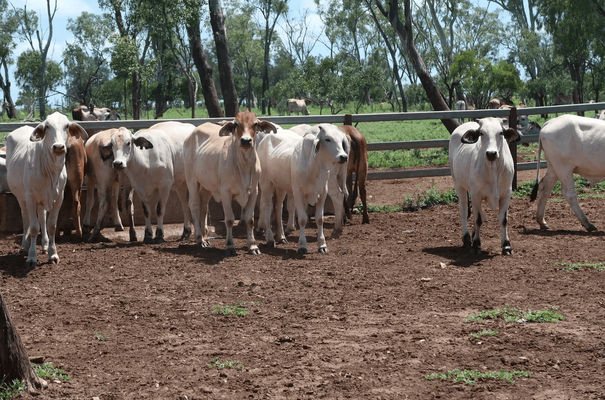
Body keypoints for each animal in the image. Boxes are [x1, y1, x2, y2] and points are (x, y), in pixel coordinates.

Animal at [6, 111, 87, 266]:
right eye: (47, 126)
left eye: (67, 126)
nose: (59, 147)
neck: (50, 170)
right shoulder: (30, 197)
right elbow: (33, 227)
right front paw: (32, 257)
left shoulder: (59, 197)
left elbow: (51, 226)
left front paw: (53, 254)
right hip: (21, 197)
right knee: (26, 219)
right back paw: (24, 247)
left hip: (41, 200)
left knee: (42, 217)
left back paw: (44, 244)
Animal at [184, 110, 278, 253]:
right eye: (236, 124)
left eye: (255, 124)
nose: (246, 141)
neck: (244, 165)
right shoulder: (225, 192)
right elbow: (229, 219)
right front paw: (229, 245)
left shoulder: (253, 192)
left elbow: (250, 220)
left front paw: (253, 246)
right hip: (192, 180)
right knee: (194, 205)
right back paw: (200, 239)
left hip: (206, 186)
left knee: (203, 207)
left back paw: (205, 238)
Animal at [256, 124, 350, 253]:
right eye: (327, 139)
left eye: (341, 140)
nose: (343, 156)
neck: (314, 165)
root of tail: (266, 138)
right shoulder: (298, 193)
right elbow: (302, 219)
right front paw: (302, 245)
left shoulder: (322, 192)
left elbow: (319, 218)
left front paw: (322, 245)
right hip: (266, 184)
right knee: (267, 207)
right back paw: (270, 239)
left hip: (281, 186)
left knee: (278, 207)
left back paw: (281, 236)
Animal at [448, 117, 520, 255]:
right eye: (481, 133)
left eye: (501, 133)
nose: (491, 153)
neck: (493, 168)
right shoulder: (476, 194)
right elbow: (478, 219)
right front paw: (476, 245)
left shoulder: (506, 193)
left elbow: (503, 219)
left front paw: (506, 246)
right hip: (458, 184)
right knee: (464, 210)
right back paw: (466, 239)